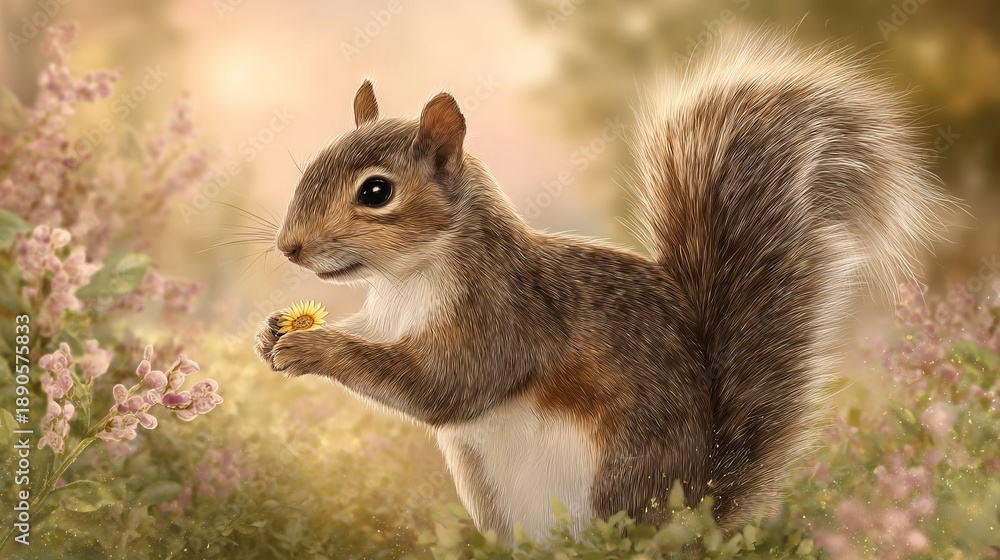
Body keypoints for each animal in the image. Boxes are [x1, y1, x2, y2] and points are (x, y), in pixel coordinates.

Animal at [254, 31, 955, 543]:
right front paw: (273, 334)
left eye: (376, 192)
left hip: (617, 476)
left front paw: (316, 349)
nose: (289, 247)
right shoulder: (387, 317)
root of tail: (696, 509)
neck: (411, 278)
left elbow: (446, 384)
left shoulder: (508, 315)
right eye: (314, 161)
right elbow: (377, 341)